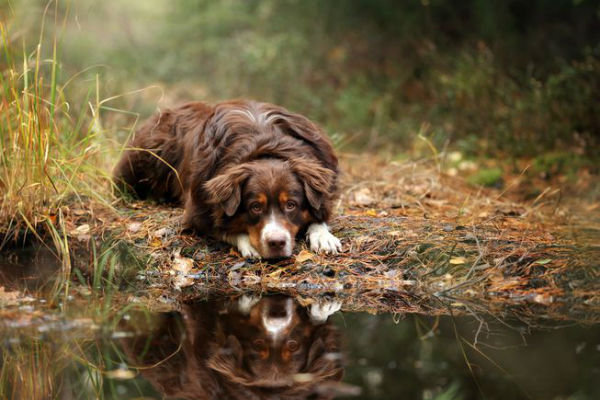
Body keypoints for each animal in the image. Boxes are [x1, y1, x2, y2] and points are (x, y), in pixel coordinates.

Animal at [113, 100, 342, 260]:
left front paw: (323, 236)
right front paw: (247, 242)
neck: (264, 146)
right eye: (255, 207)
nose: (276, 243)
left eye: (291, 205)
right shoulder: (198, 207)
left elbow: (319, 215)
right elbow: (220, 227)